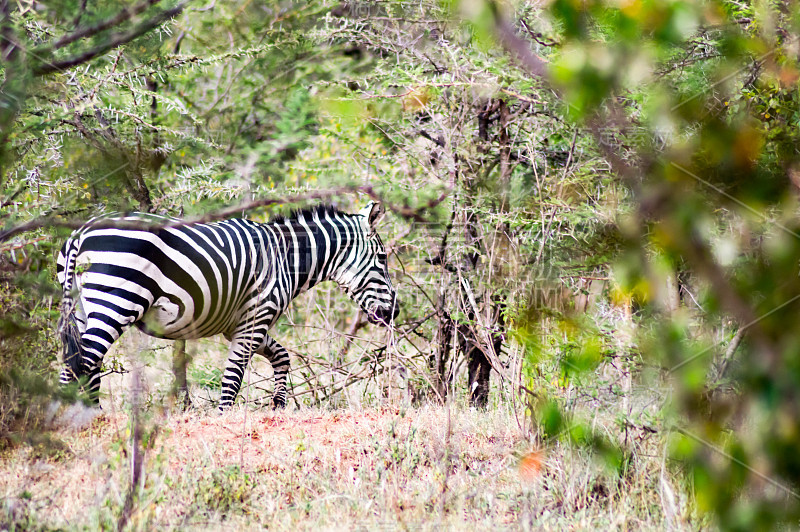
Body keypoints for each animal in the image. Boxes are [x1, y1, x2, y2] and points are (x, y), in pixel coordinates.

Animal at [56, 202, 400, 410]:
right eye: (383, 258)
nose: (394, 312)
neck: (285, 258)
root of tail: (82, 232)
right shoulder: (257, 316)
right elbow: (233, 378)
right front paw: (225, 417)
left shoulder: (244, 324)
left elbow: (282, 356)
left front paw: (278, 404)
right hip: (115, 301)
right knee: (84, 363)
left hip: (82, 309)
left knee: (76, 365)